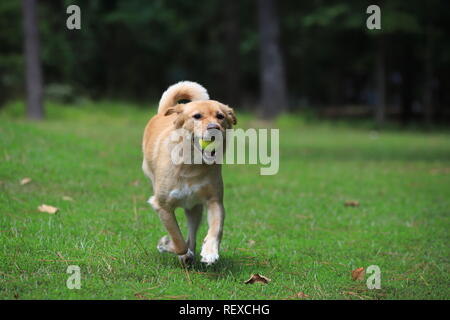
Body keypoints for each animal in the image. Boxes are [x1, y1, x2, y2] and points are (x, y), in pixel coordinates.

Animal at [142, 80, 237, 264]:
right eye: (197, 116)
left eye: (220, 116)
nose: (214, 128)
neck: (191, 165)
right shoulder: (162, 206)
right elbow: (177, 239)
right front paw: (167, 245)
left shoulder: (214, 201)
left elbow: (216, 229)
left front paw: (210, 251)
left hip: (194, 208)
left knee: (192, 235)